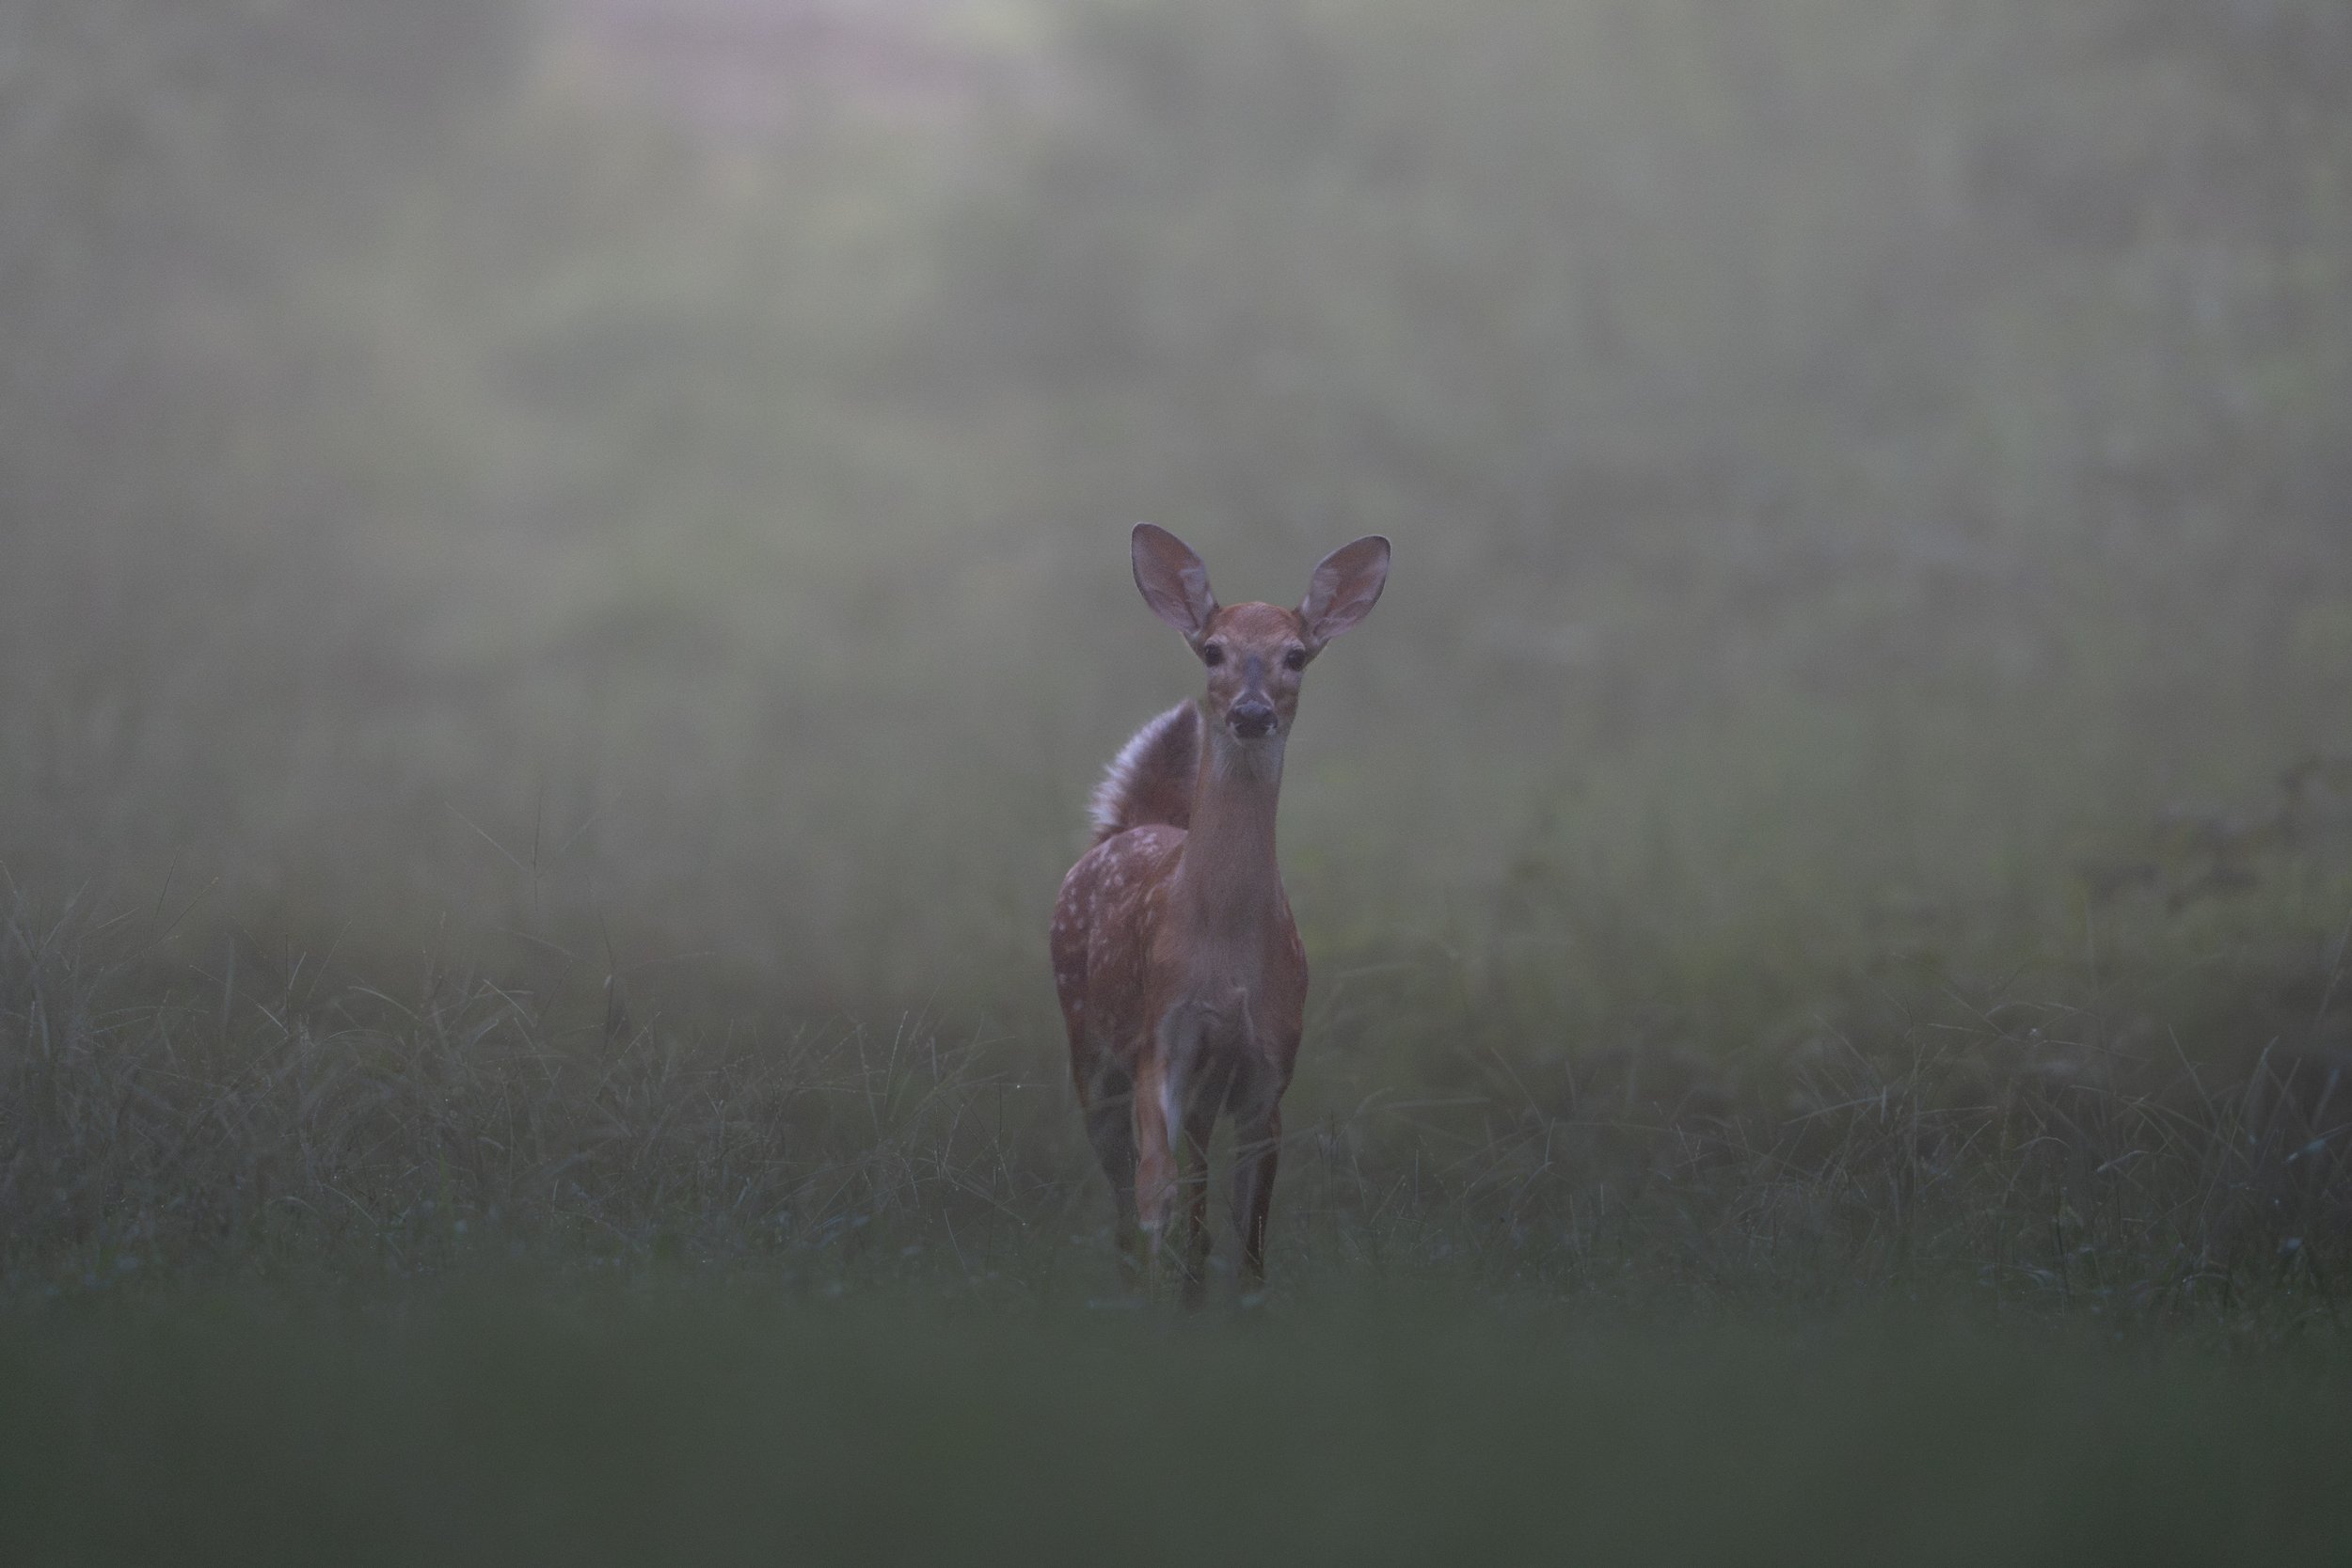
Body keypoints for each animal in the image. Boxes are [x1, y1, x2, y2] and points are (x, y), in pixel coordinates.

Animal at [1050, 524, 1390, 1304]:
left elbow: (1253, 1216)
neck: (1227, 954)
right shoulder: (1162, 1037)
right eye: (1212, 649)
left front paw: (1243, 1303)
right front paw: (1152, 1293)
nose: (1251, 712)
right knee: (1124, 1181)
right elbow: (1157, 1185)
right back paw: (1133, 1279)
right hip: (1088, 1046)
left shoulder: (1269, 1060)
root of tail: (1125, 828)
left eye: (1296, 653)